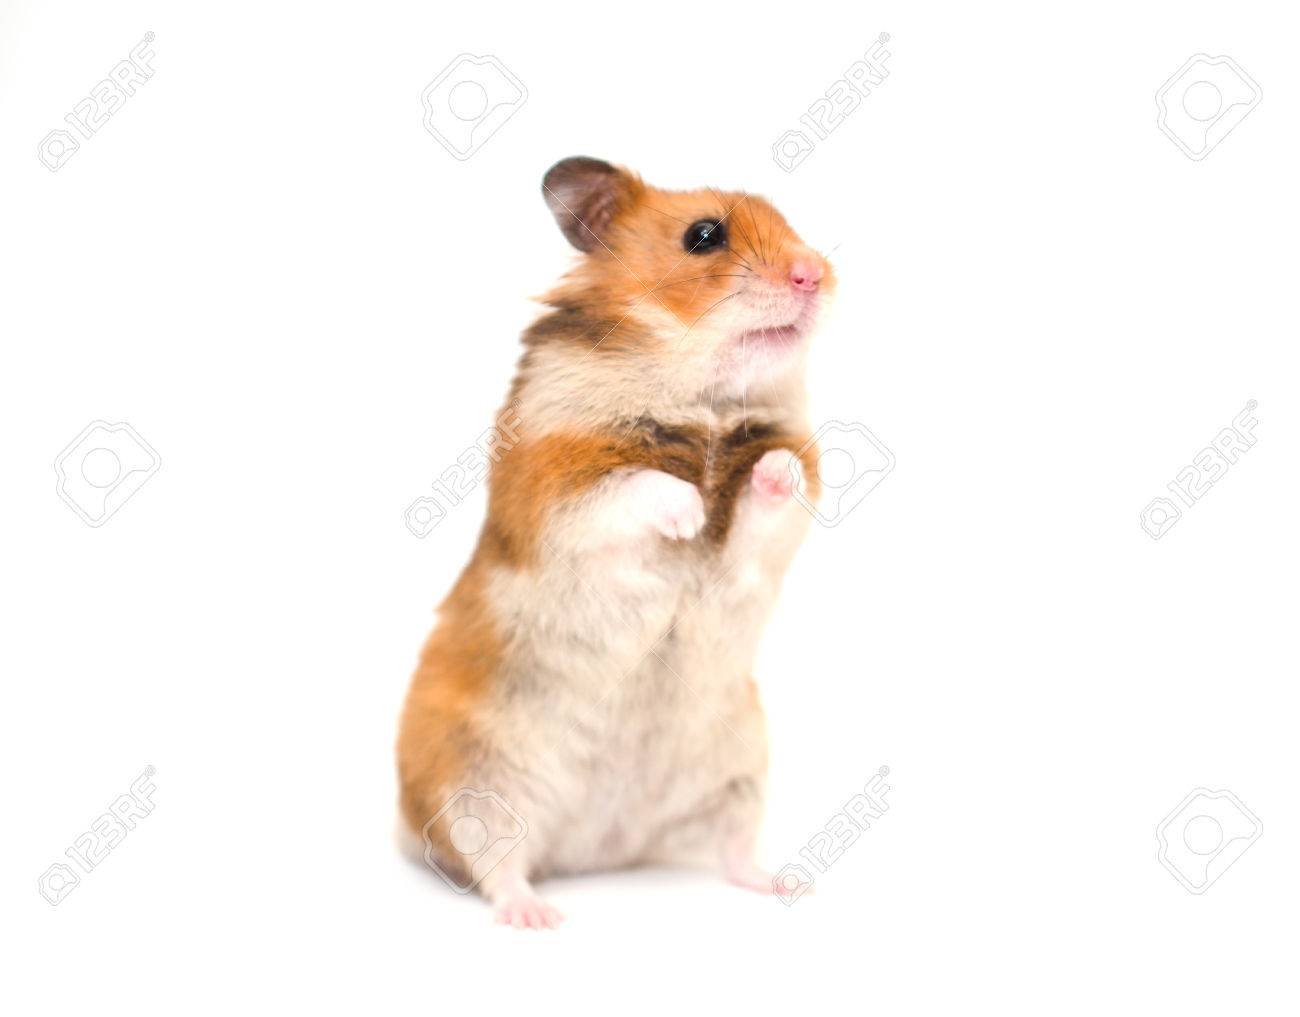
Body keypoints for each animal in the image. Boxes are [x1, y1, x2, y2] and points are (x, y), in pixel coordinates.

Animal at [397, 156, 833, 928]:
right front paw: (689, 514)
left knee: (733, 850)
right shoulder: (556, 489)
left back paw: (782, 884)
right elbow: (636, 486)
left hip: (739, 774)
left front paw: (769, 474)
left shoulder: (766, 532)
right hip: (473, 783)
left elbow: (772, 487)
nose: (815, 271)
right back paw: (536, 915)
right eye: (704, 235)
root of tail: (599, 848)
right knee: (497, 865)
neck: (703, 400)